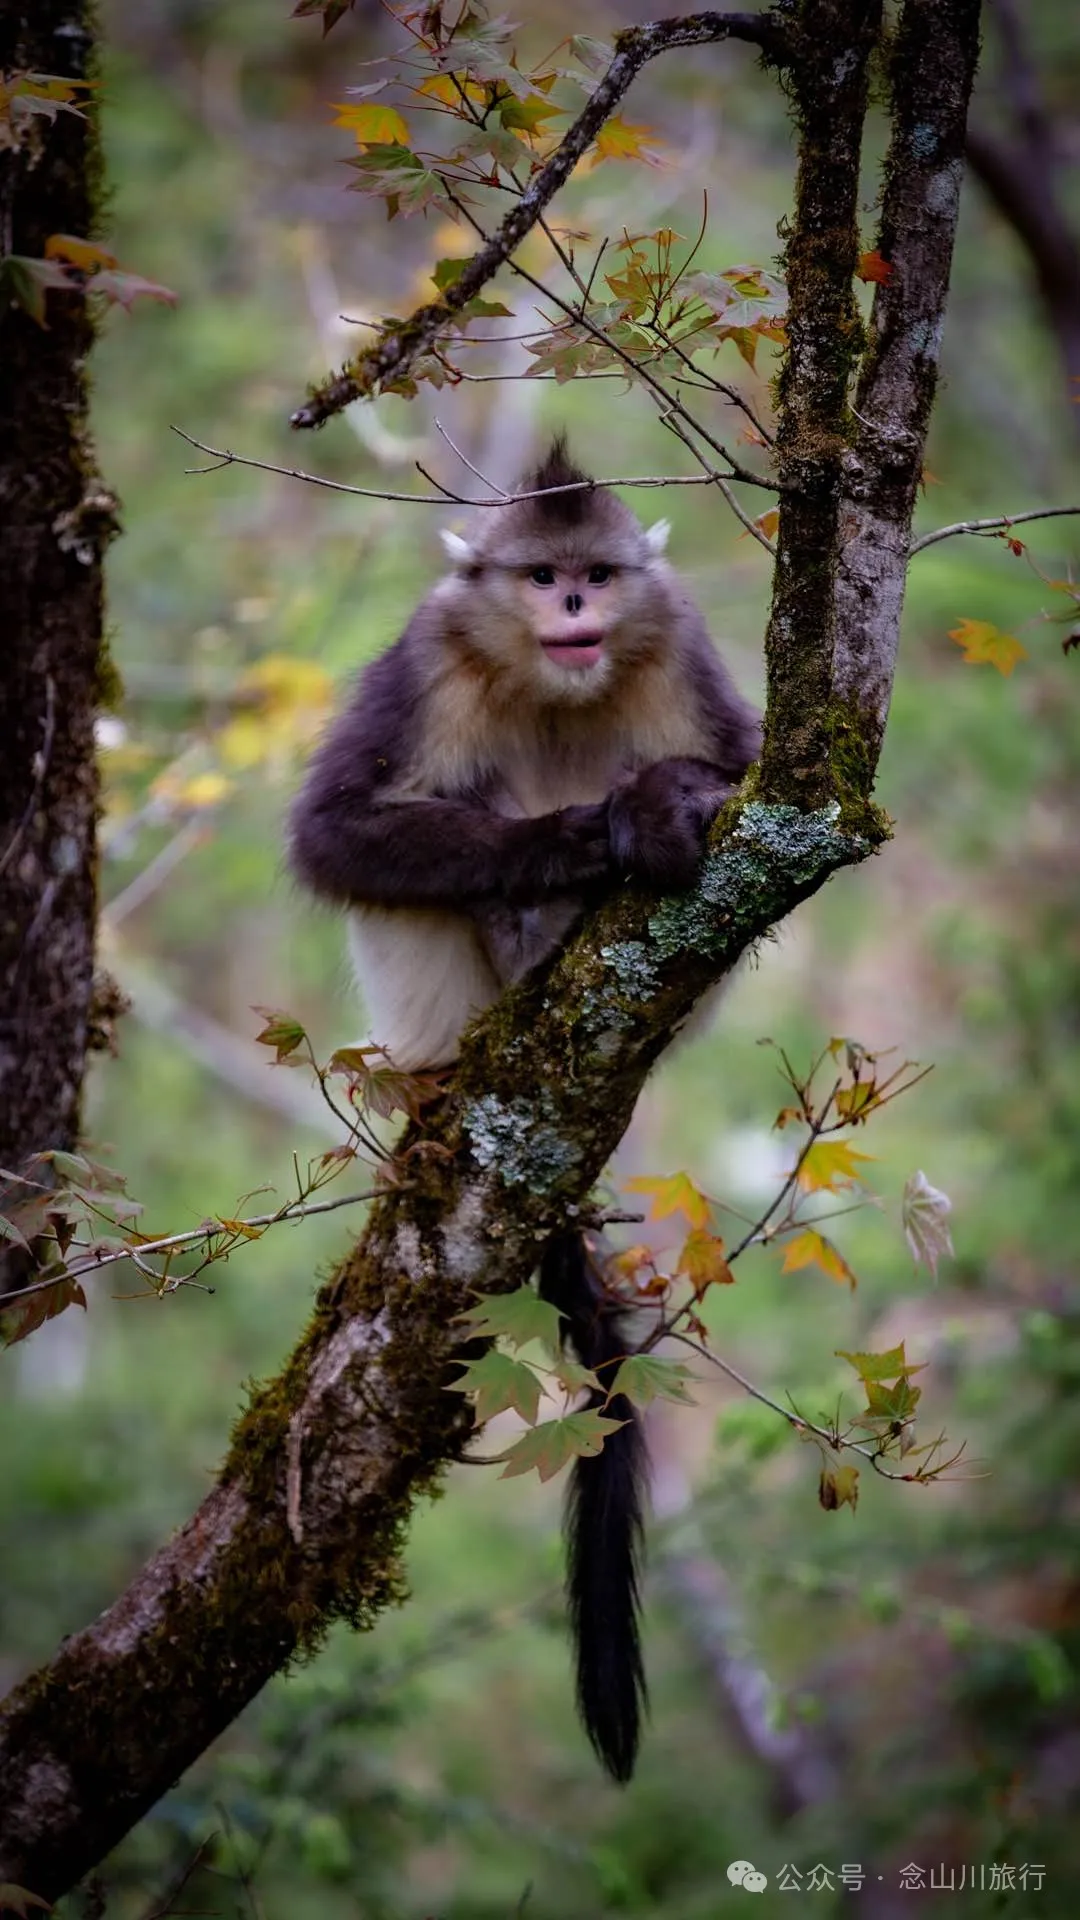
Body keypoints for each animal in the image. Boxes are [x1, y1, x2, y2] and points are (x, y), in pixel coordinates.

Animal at [289, 437, 760, 1782]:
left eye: (596, 571)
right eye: (541, 577)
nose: (575, 606)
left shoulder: (681, 644)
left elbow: (749, 781)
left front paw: (657, 806)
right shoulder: (426, 659)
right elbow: (335, 833)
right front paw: (587, 836)